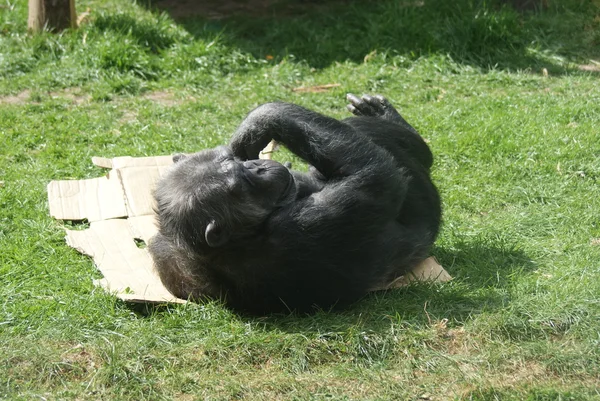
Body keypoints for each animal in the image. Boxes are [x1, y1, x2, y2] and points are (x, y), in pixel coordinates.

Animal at [149, 94, 440, 316]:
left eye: (235, 162)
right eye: (245, 183)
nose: (257, 167)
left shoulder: (161, 248)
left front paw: (249, 133)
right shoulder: (314, 224)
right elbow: (378, 174)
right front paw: (259, 120)